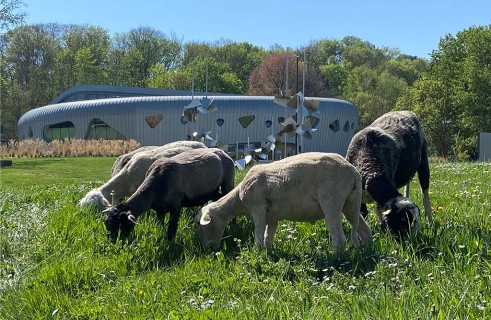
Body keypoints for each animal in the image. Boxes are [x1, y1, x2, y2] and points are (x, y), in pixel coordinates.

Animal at [103, 147, 236, 240]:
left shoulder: (176, 206)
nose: (113, 243)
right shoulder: (159, 209)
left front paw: (170, 244)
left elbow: (171, 230)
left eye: (120, 224)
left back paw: (233, 225)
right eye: (107, 224)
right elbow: (159, 225)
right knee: (218, 198)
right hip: (212, 191)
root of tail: (223, 152)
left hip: (228, 181)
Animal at [194, 152, 370, 255]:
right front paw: (269, 254)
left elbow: (259, 237)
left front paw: (258, 255)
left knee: (339, 238)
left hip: (331, 200)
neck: (239, 199)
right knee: (365, 230)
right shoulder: (272, 218)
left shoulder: (258, 209)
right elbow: (268, 237)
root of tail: (353, 172)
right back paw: (367, 252)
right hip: (350, 202)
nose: (207, 250)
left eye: (198, 226)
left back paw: (334, 260)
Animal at [346, 110, 434, 238]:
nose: (414, 240)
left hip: (423, 160)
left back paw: (431, 223)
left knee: (425, 194)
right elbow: (362, 215)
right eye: (403, 220)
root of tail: (406, 111)